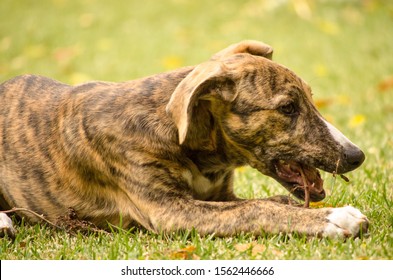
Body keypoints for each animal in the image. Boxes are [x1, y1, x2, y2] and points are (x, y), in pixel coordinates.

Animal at [0, 41, 368, 238]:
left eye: (310, 99)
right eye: (288, 108)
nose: (357, 156)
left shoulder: (221, 196)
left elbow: (263, 202)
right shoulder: (169, 210)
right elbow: (256, 208)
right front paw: (334, 218)